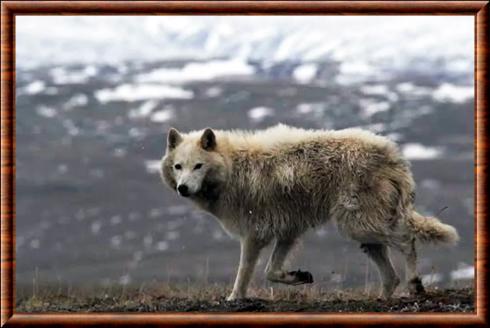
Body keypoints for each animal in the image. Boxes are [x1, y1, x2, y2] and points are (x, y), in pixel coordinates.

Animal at [159, 124, 458, 302]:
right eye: (178, 166)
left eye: (198, 166)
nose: (183, 189)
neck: (232, 169)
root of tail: (393, 154)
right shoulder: (287, 232)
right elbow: (271, 271)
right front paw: (298, 277)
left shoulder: (254, 235)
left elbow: (245, 272)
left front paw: (235, 299)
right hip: (364, 233)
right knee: (390, 274)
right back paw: (381, 300)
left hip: (359, 226)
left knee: (407, 241)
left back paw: (415, 284)